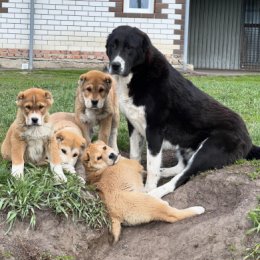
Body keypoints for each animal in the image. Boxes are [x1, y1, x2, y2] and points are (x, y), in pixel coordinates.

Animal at [105, 25, 260, 198]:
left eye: (129, 48)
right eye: (112, 46)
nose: (115, 65)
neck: (138, 74)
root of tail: (248, 138)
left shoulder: (154, 130)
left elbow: (152, 166)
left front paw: (148, 189)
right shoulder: (133, 124)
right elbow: (135, 155)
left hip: (209, 149)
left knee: (183, 176)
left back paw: (155, 193)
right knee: (182, 167)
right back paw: (163, 171)